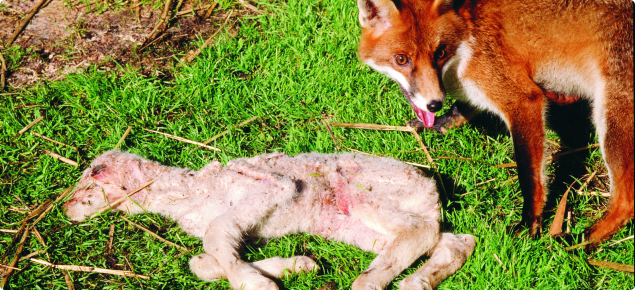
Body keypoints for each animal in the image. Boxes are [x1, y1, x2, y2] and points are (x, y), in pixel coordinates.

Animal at [64, 151, 474, 288]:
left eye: (90, 183)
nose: (66, 211)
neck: (189, 195)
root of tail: (431, 188)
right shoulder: (246, 229)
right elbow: (202, 262)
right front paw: (297, 266)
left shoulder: (272, 187)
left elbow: (215, 237)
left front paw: (256, 284)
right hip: (348, 223)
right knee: (452, 242)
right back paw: (416, 283)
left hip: (363, 191)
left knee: (420, 230)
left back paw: (368, 283)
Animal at [356, 0, 632, 246]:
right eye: (401, 59)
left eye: (440, 53)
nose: (434, 104)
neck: (466, 38)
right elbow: (463, 107)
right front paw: (440, 122)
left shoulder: (523, 99)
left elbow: (530, 178)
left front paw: (529, 226)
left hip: (611, 119)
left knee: (626, 202)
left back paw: (581, 241)